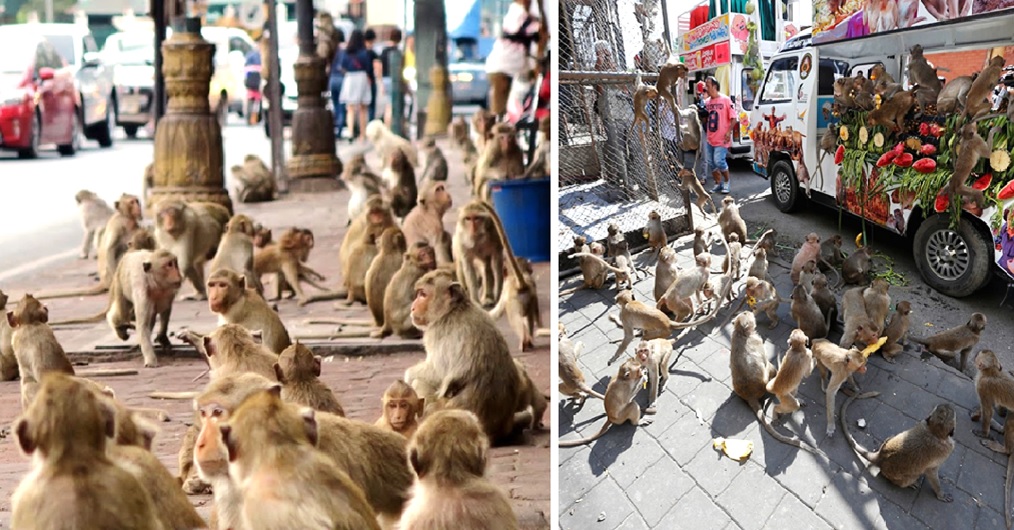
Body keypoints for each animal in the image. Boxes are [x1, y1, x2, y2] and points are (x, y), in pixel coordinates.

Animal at [403, 269, 535, 443]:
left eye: (423, 294)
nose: (412, 308)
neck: (454, 309)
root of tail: (495, 432)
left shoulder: (436, 332)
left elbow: (438, 373)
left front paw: (408, 375)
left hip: (439, 411)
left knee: (420, 383)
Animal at [730, 314, 823, 453]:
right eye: (747, 314)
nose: (750, 312)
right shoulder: (758, 340)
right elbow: (806, 372)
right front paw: (816, 359)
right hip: (780, 393)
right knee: (790, 400)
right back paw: (777, 411)